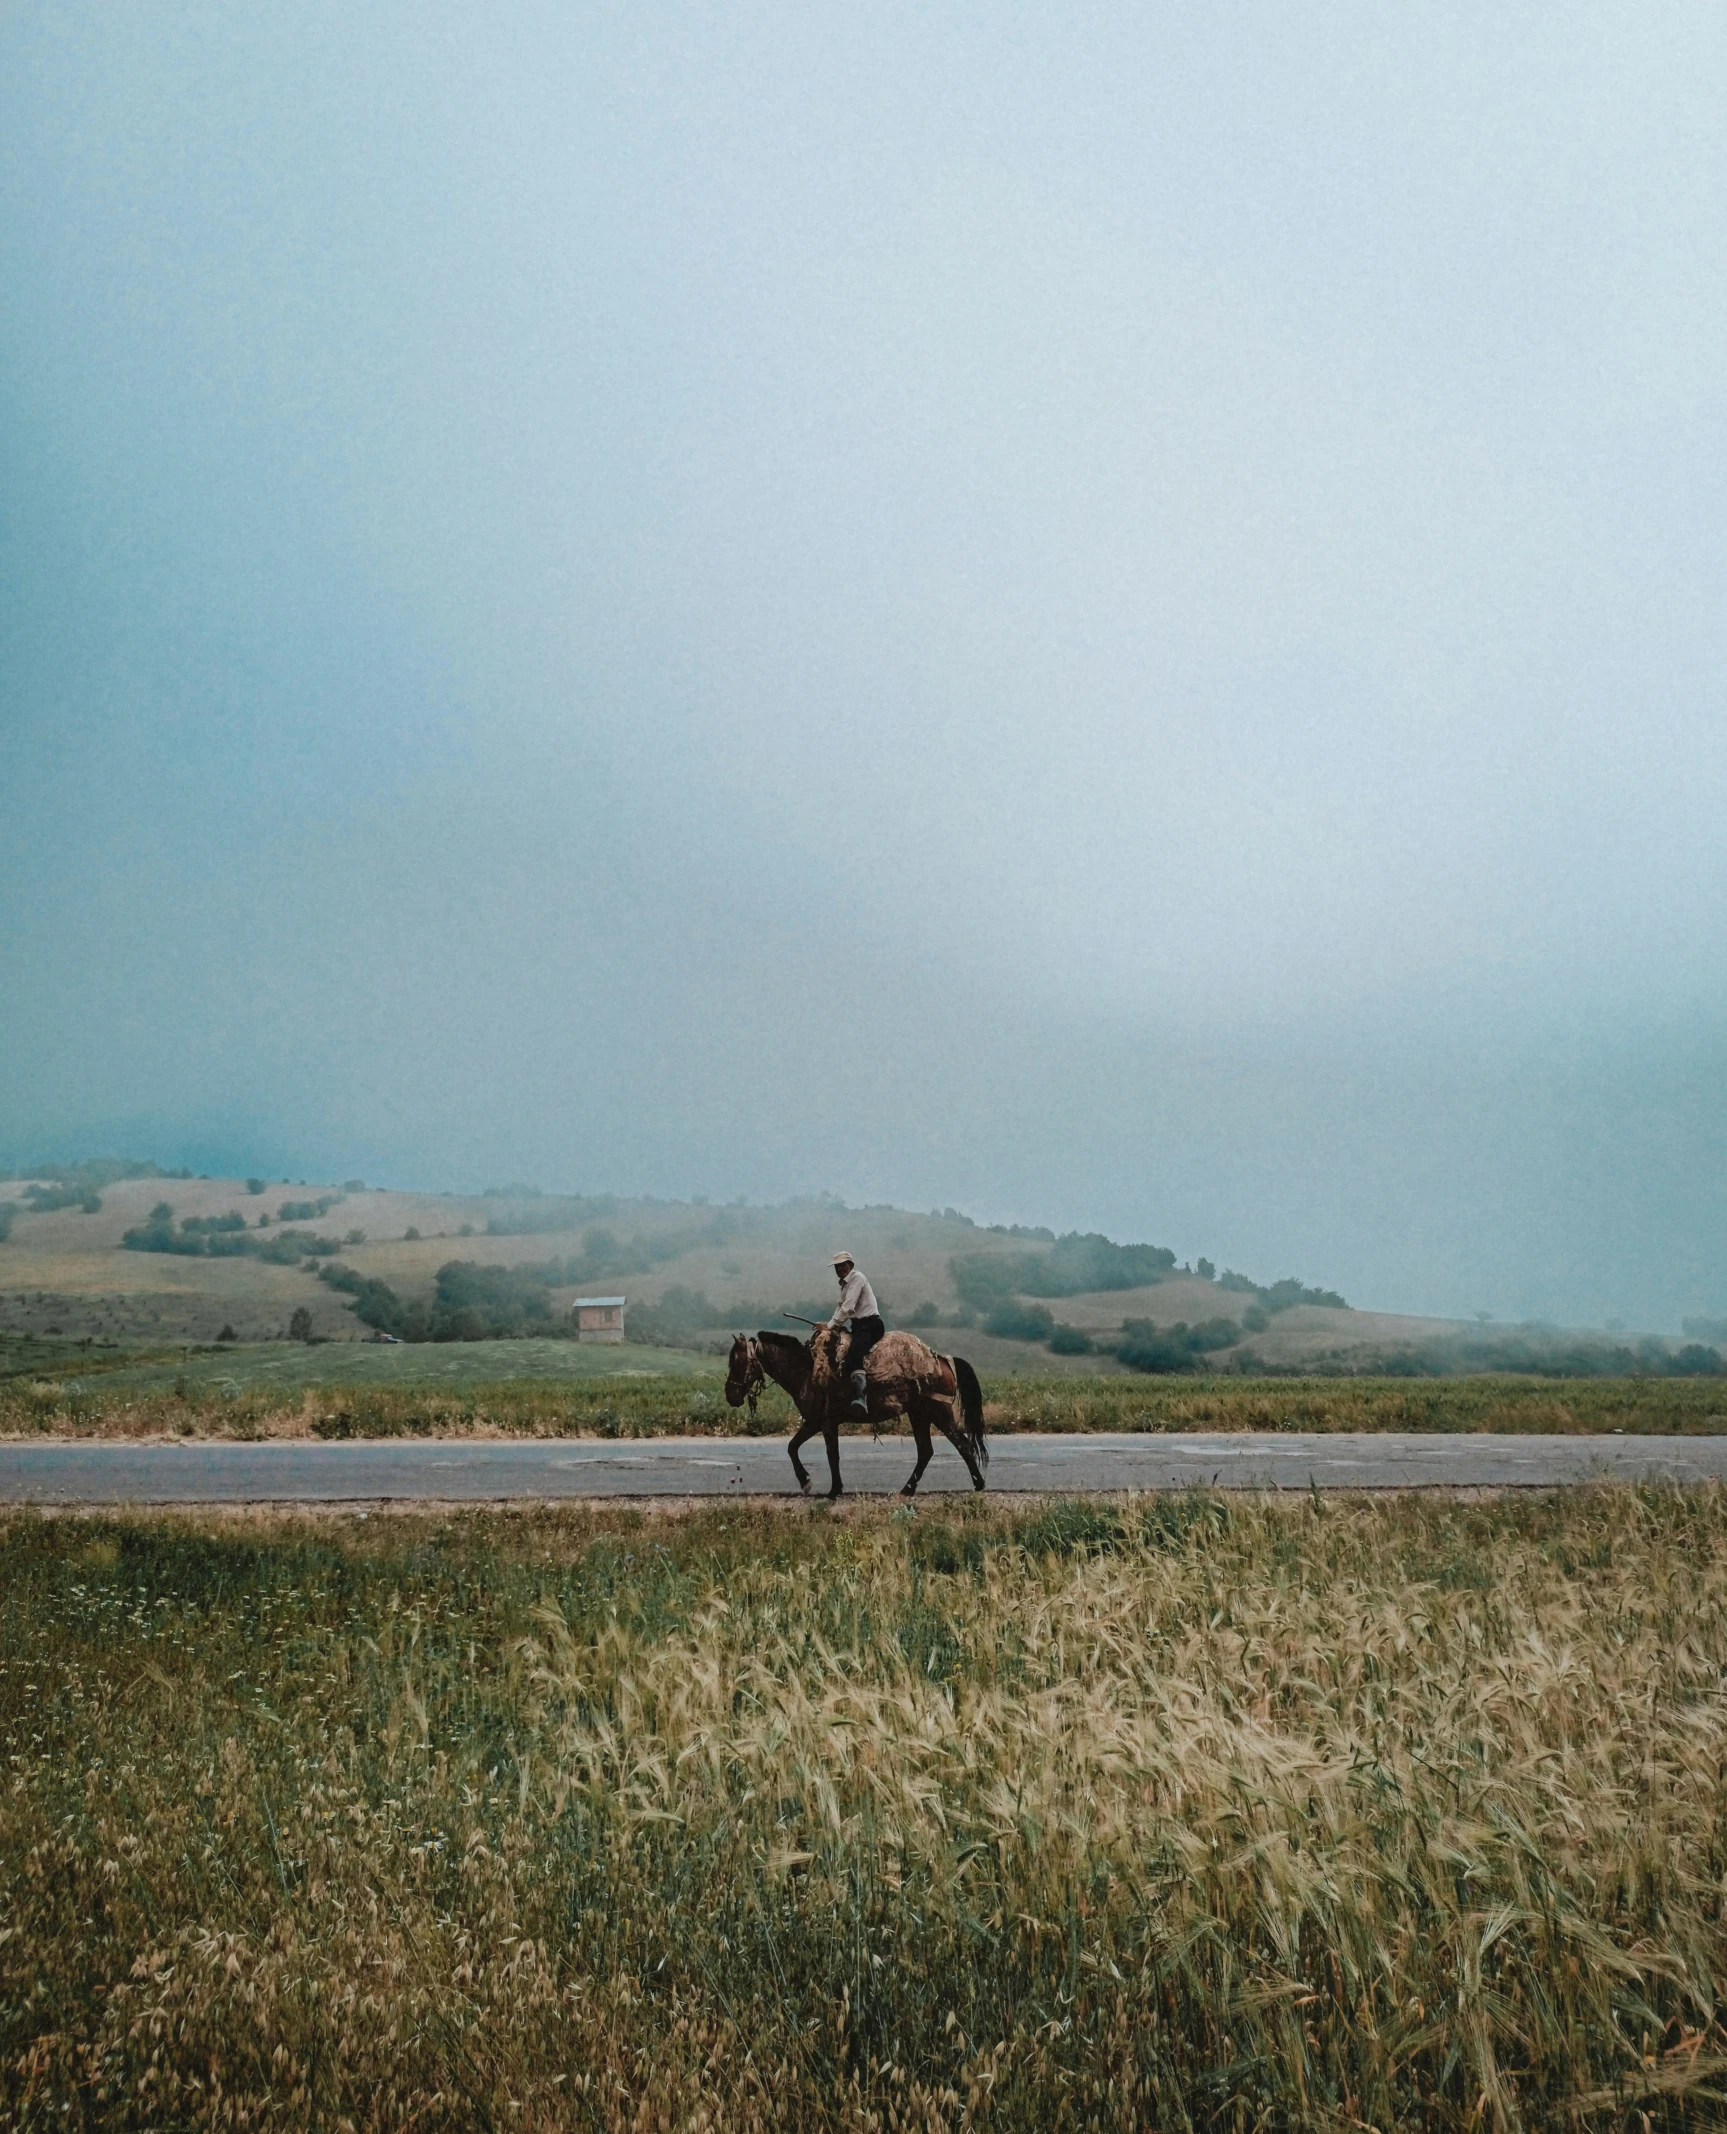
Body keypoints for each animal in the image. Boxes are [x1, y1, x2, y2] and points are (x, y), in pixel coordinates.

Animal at [725, 1314, 981, 1502]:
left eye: (738, 1361)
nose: (730, 1396)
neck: (805, 1370)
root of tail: (942, 1360)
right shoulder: (817, 1422)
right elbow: (795, 1447)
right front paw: (814, 1483)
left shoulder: (822, 1422)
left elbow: (827, 1454)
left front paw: (827, 1488)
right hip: (919, 1415)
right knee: (926, 1451)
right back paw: (907, 1489)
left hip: (939, 1412)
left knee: (961, 1443)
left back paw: (979, 1483)